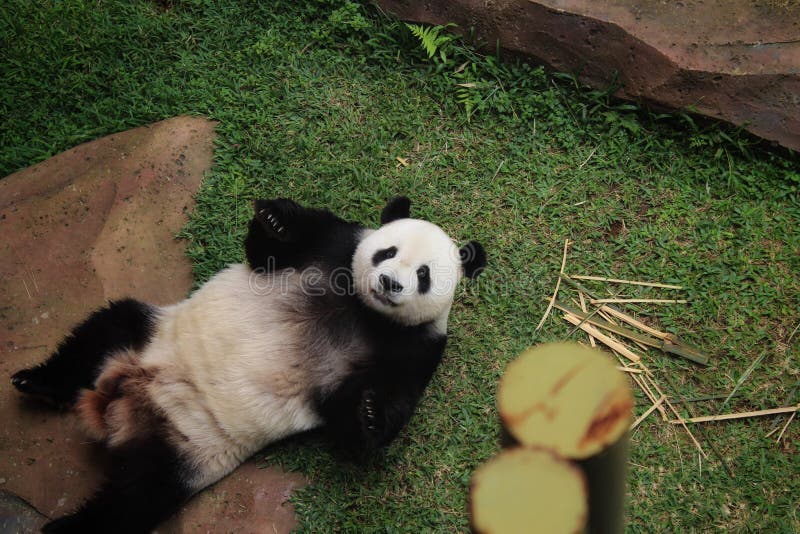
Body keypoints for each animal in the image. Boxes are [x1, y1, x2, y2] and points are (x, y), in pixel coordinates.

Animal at [11, 196, 486, 533]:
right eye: (386, 252)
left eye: (423, 274)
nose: (389, 283)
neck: (365, 309)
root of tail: (120, 405)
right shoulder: (332, 246)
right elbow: (266, 251)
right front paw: (275, 219)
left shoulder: (415, 348)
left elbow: (360, 421)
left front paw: (368, 413)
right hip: (148, 336)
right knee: (103, 331)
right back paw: (36, 381)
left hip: (185, 451)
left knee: (135, 500)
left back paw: (64, 528)